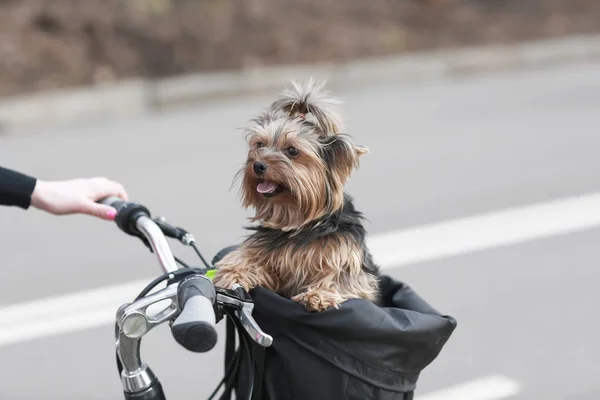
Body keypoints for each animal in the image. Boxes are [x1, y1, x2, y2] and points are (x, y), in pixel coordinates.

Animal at [212, 79, 380, 312]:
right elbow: (245, 258)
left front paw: (318, 295)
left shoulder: (345, 259)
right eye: (260, 144)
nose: (258, 165)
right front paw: (232, 273)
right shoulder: (267, 255)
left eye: (292, 151)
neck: (296, 219)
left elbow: (342, 280)